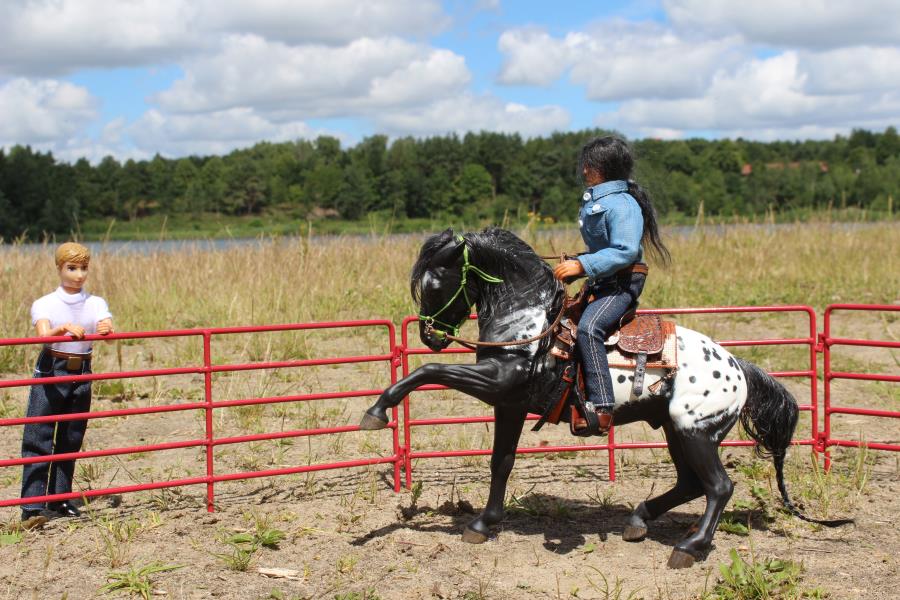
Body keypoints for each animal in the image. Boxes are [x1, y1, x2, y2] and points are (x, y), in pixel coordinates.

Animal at [359, 227, 849, 568]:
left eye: (434, 284)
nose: (430, 335)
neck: (530, 319)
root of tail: (739, 368)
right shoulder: (509, 403)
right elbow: (501, 462)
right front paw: (482, 523)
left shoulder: (499, 382)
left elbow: (427, 371)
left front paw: (376, 411)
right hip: (677, 432)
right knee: (692, 484)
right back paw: (638, 520)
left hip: (695, 433)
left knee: (718, 487)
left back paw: (690, 547)